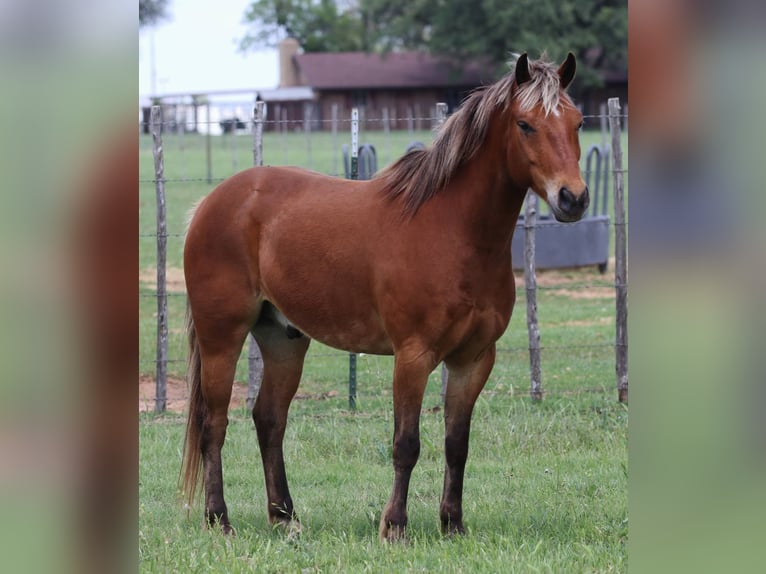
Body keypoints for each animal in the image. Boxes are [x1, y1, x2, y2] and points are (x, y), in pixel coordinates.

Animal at [180, 52, 589, 541]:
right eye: (526, 124)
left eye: (578, 122)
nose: (573, 199)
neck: (454, 231)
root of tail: (210, 203)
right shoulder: (413, 356)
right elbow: (406, 444)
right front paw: (394, 526)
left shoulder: (473, 359)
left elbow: (457, 444)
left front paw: (453, 524)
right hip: (221, 338)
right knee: (214, 423)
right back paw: (218, 519)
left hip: (283, 340)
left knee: (269, 420)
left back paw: (285, 517)